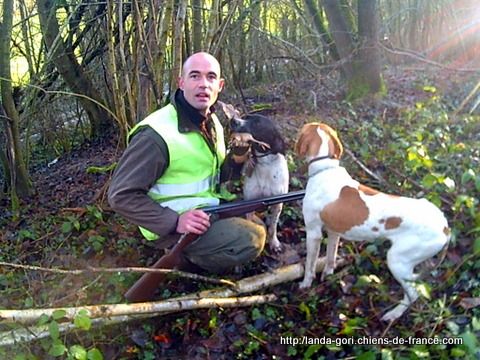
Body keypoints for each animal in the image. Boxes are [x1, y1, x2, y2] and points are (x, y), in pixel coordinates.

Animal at [296, 122, 450, 322]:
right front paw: (328, 274)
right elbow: (330, 257)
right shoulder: (334, 232)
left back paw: (393, 314)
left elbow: (309, 265)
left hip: (397, 261)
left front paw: (306, 284)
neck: (325, 169)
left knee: (413, 294)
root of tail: (445, 226)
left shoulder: (313, 233)